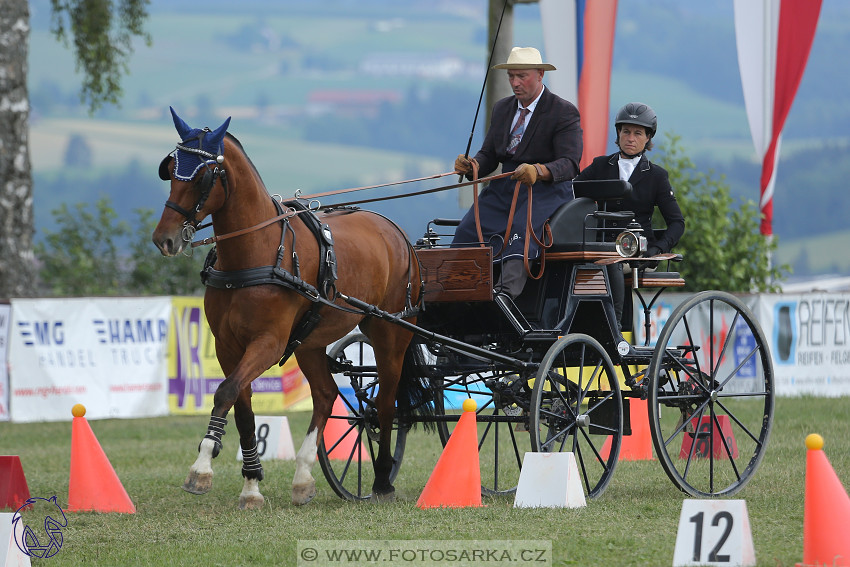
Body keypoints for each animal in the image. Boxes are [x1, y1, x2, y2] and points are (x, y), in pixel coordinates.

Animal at [152, 108, 428, 508]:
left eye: (203, 176)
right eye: (171, 169)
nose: (165, 239)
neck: (256, 252)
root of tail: (396, 233)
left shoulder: (269, 343)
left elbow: (224, 392)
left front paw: (202, 466)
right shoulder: (227, 346)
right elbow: (242, 405)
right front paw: (251, 485)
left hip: (390, 332)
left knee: (387, 402)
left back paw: (381, 481)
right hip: (311, 341)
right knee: (326, 395)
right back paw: (303, 476)